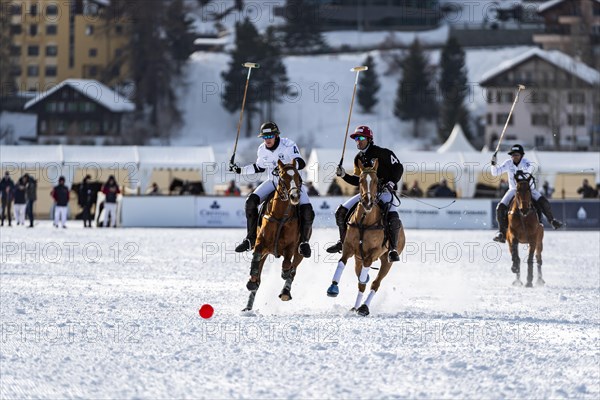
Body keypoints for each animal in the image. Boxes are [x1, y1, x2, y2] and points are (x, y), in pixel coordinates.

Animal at [243, 161, 304, 310]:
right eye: (282, 178)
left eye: (299, 178)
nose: (295, 197)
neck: (280, 216)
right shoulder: (260, 243)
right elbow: (256, 260)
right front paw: (252, 281)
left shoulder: (291, 245)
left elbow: (287, 265)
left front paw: (285, 273)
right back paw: (248, 307)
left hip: (300, 251)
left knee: (294, 268)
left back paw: (285, 292)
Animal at [326, 159, 406, 316]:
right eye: (360, 180)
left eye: (376, 180)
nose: (367, 203)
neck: (365, 221)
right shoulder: (348, 248)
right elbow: (342, 264)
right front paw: (333, 288)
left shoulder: (371, 255)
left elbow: (363, 282)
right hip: (358, 258)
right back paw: (356, 306)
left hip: (386, 261)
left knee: (375, 283)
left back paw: (363, 307)